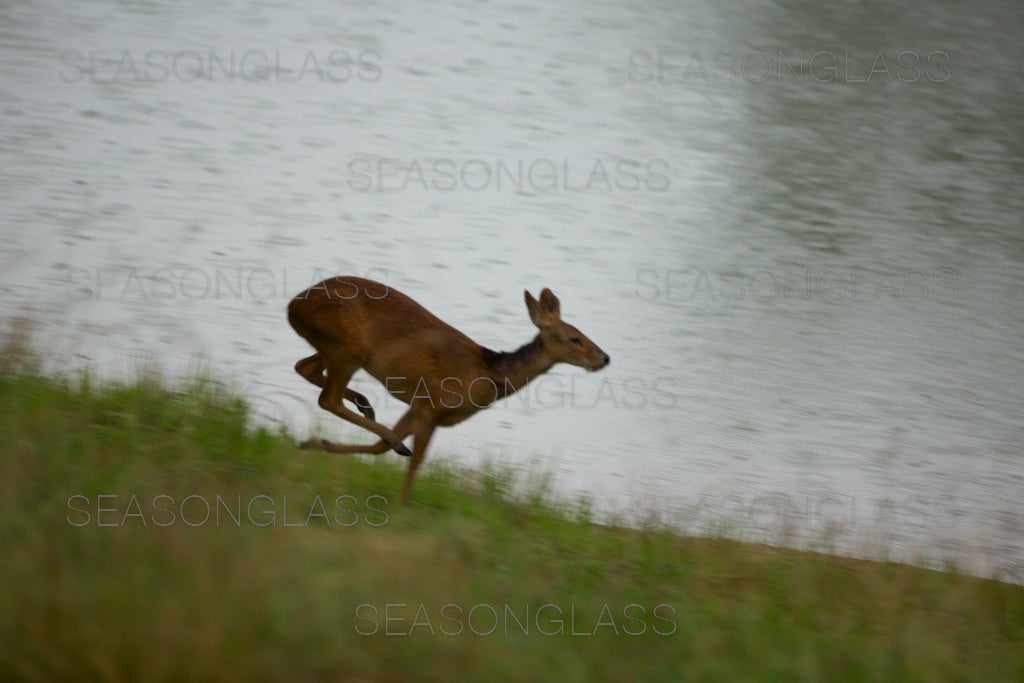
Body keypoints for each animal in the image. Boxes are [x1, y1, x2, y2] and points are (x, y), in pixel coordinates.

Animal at [286, 274, 606, 505]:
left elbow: (379, 449)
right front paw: (402, 504)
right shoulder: (433, 406)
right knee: (328, 398)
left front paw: (314, 444)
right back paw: (376, 421)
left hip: (333, 347)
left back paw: (364, 408)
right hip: (348, 348)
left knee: (305, 368)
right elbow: (415, 460)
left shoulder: (420, 407)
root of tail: (292, 306)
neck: (490, 375)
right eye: (574, 338)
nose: (604, 358)